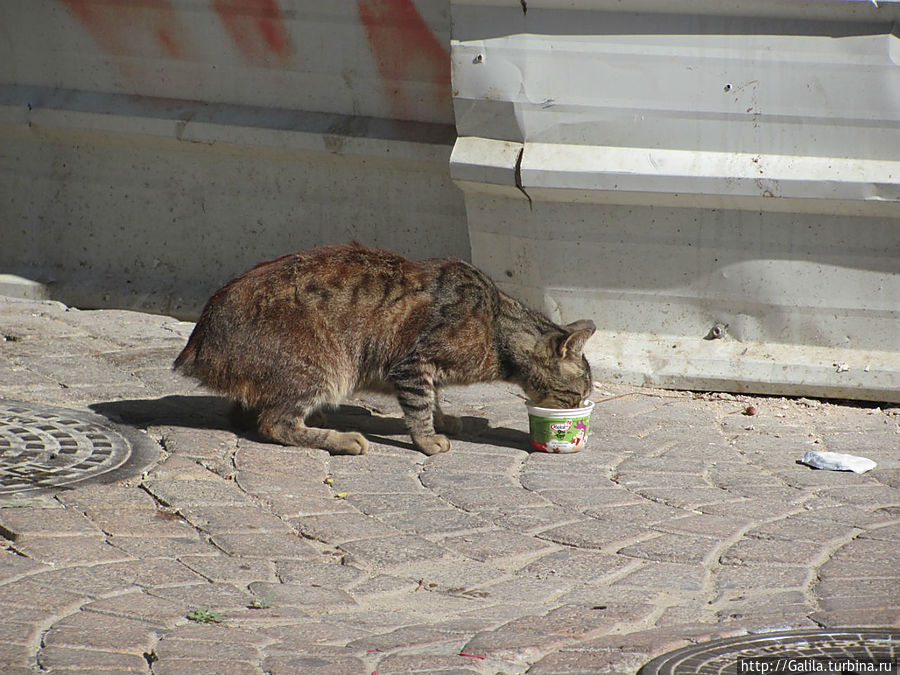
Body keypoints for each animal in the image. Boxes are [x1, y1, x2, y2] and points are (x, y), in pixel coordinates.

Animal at [176, 242, 596, 454]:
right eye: (578, 394)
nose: (580, 406)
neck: (496, 326)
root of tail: (199, 338)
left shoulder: (425, 370)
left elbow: (434, 399)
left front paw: (443, 419)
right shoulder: (412, 363)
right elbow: (420, 407)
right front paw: (428, 439)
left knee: (245, 412)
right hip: (321, 367)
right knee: (273, 424)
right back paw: (342, 440)